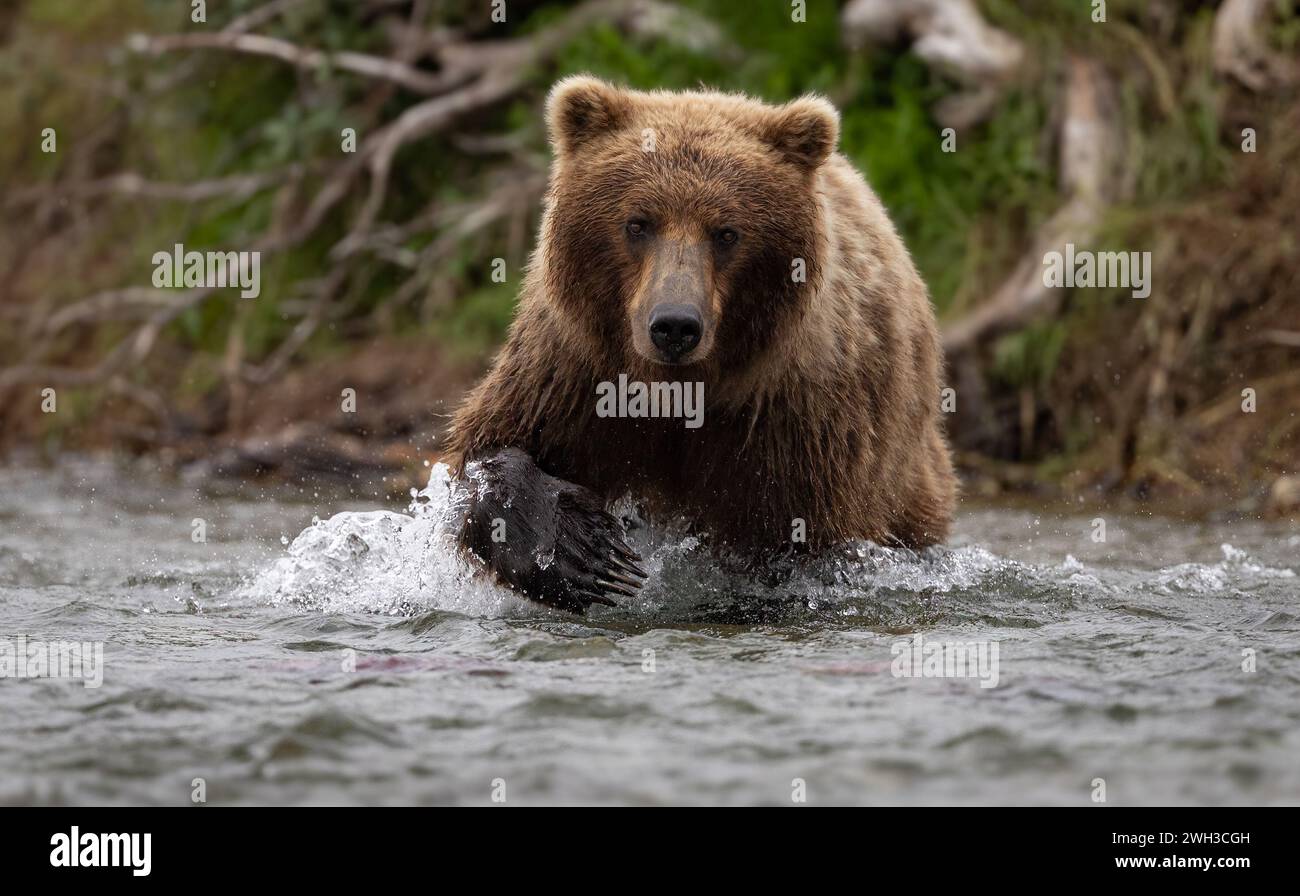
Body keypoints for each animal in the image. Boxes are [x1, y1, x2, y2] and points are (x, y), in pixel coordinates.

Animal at [444, 75, 956, 613]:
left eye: (727, 232)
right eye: (637, 223)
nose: (674, 326)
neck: (680, 389)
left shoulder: (798, 421)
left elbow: (799, 544)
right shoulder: (573, 371)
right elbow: (491, 445)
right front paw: (583, 553)